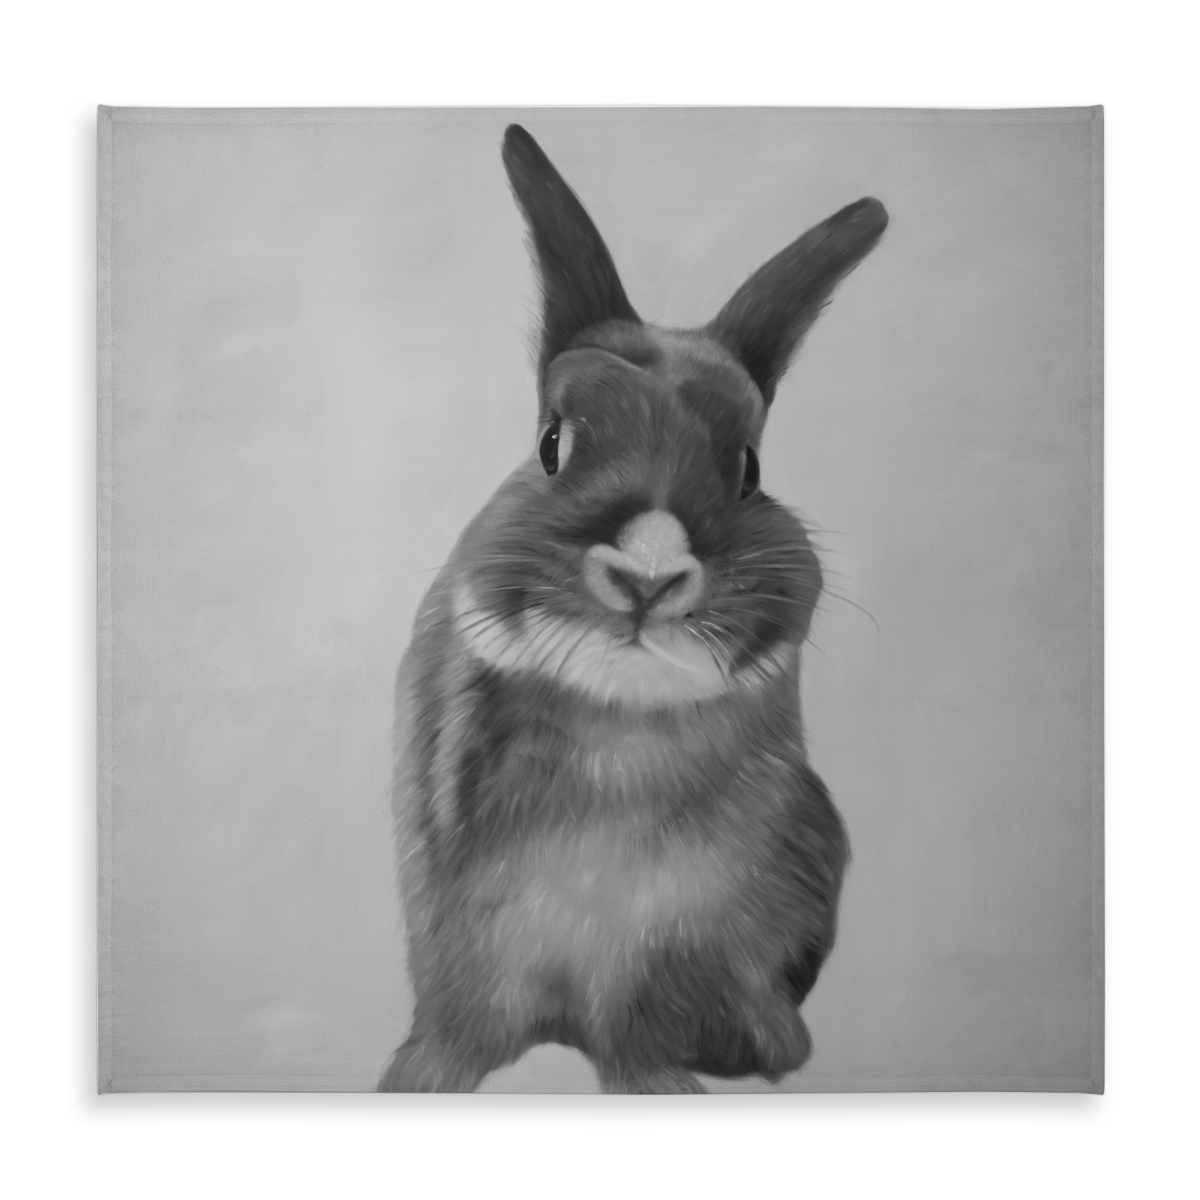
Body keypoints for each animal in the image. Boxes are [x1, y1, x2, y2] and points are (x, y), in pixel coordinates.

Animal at [378, 124, 887, 1094]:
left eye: (748, 470)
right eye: (552, 443)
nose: (649, 574)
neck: (620, 726)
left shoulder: (662, 956)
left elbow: (636, 1036)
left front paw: (661, 1085)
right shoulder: (458, 933)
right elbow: (462, 1022)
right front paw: (420, 1078)